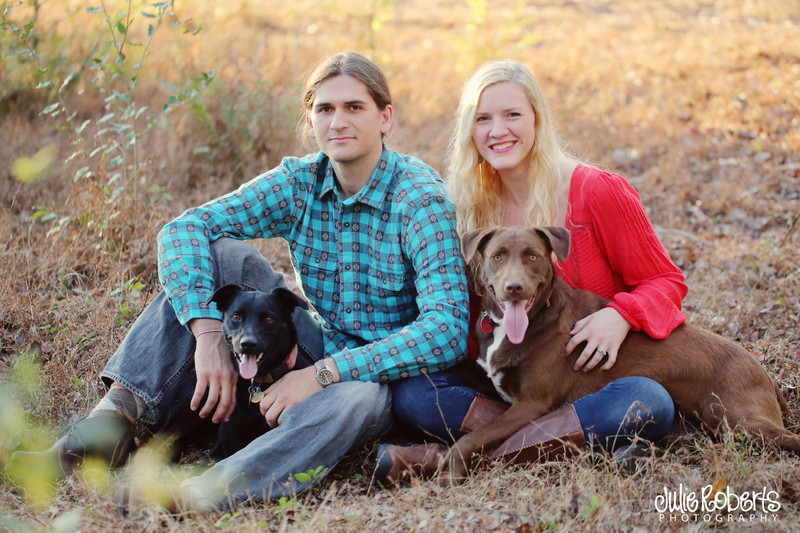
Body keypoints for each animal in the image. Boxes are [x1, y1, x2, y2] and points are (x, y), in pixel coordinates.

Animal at [444, 224, 800, 478]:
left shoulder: (531, 403)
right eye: (498, 256)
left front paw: (451, 469)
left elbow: (474, 436)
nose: (514, 287)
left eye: (532, 256)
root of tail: (765, 374)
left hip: (738, 419)